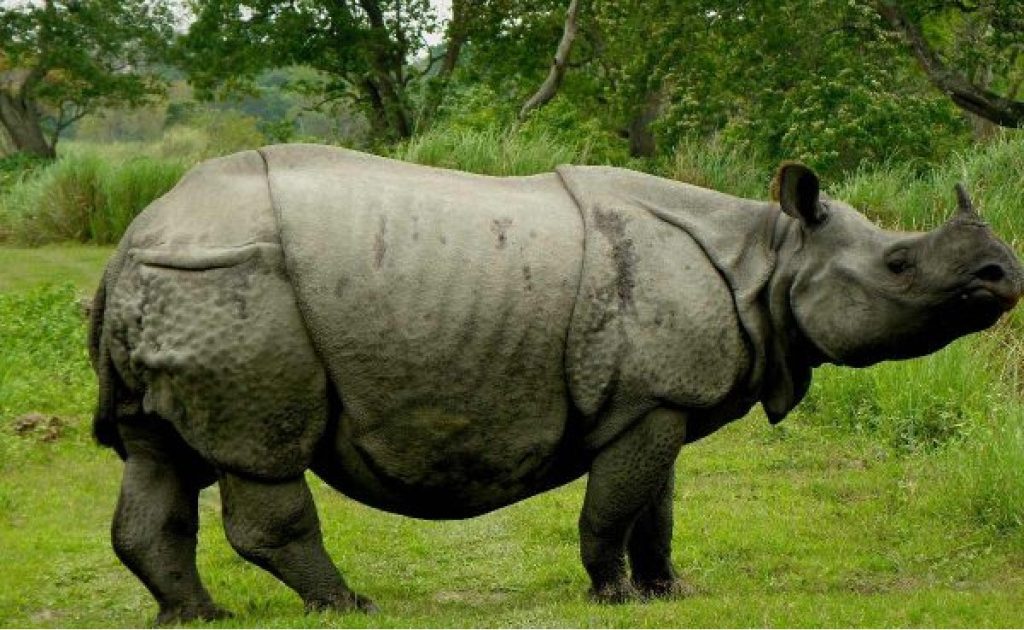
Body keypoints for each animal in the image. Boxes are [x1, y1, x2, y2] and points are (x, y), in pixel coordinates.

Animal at [88, 144, 1022, 623]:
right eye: (900, 263)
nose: (1004, 274)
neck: (771, 256)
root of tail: (134, 238)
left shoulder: (659, 398)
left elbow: (656, 507)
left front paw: (669, 591)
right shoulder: (648, 399)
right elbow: (614, 506)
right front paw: (612, 596)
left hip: (184, 285)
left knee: (156, 457)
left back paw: (198, 617)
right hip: (231, 284)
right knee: (261, 456)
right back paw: (348, 605)